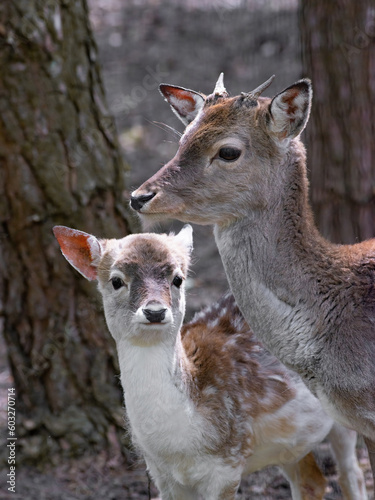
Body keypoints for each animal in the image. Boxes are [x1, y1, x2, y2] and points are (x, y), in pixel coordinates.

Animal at [53, 227, 368, 500]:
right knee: (313, 481)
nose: (155, 311)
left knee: (351, 473)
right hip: (293, 441)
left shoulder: (227, 463)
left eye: (178, 278)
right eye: (116, 280)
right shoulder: (161, 474)